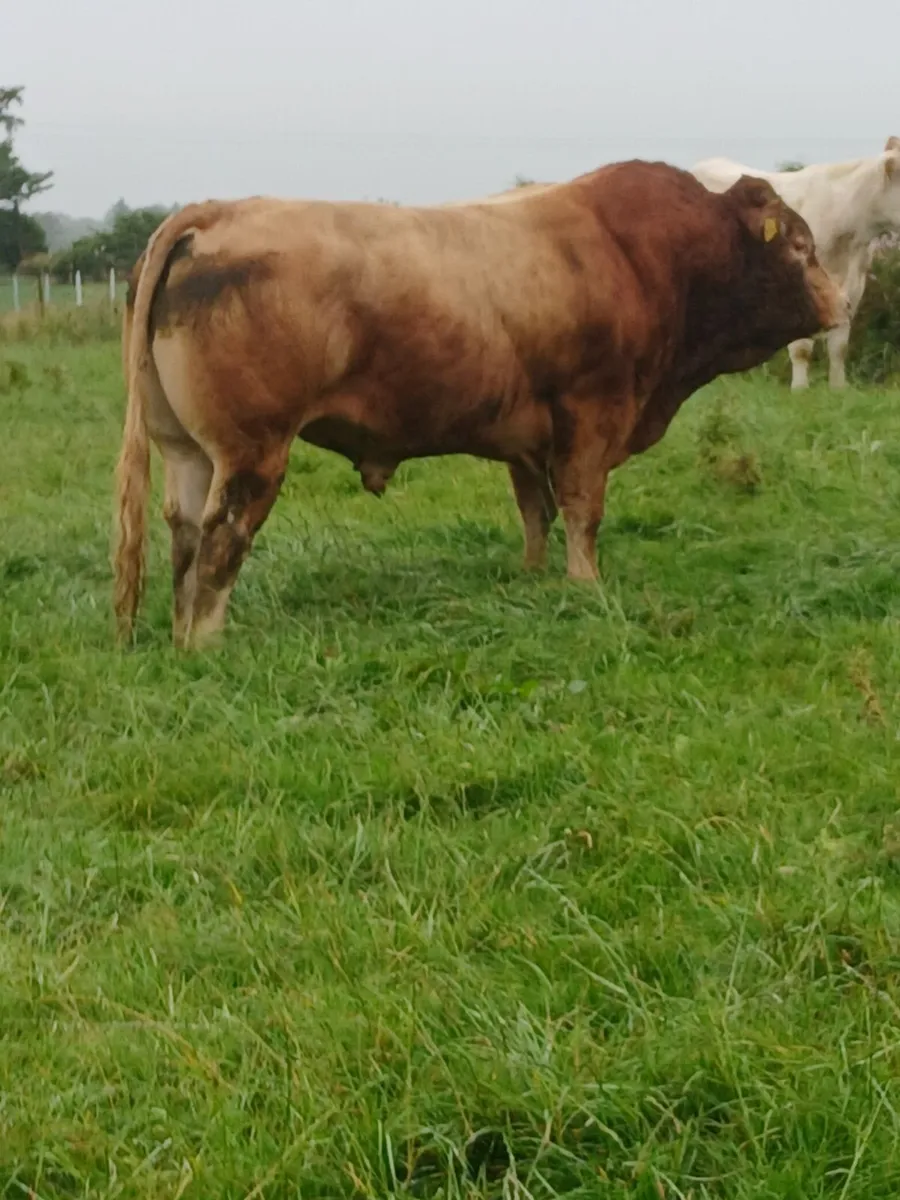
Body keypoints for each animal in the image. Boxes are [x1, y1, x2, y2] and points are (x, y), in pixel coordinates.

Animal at [113, 160, 845, 649]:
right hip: (252, 452)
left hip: (186, 450)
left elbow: (535, 510)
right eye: (801, 246)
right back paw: (208, 643)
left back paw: (181, 638)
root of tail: (215, 211)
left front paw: (533, 577)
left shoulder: (526, 434)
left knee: (183, 535)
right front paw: (584, 585)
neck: (643, 255)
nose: (840, 303)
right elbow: (582, 508)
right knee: (222, 538)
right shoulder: (592, 412)